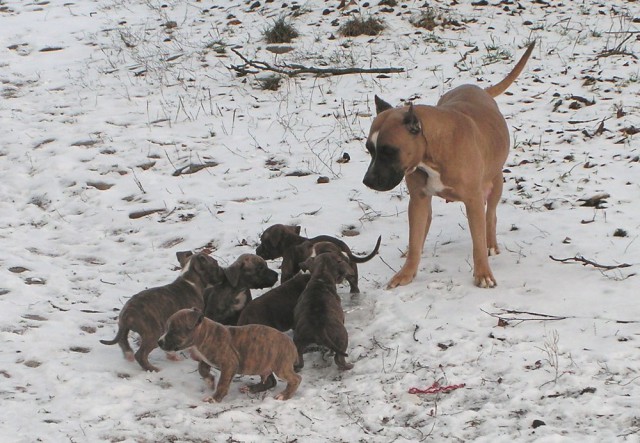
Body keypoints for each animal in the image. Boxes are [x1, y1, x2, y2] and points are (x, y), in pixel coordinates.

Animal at [159, 308, 302, 402]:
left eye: (174, 331)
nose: (159, 342)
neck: (205, 334)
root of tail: (292, 345)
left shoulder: (229, 365)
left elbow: (222, 383)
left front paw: (214, 398)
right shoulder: (205, 360)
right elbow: (202, 369)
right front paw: (210, 380)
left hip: (281, 366)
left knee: (296, 378)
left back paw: (284, 395)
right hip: (263, 364)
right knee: (271, 382)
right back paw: (251, 388)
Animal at [364, 41, 536, 290]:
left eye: (389, 151)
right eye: (369, 148)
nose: (367, 181)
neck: (432, 153)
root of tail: (480, 90)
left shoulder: (474, 201)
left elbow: (478, 242)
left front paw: (483, 273)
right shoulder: (418, 200)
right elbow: (415, 239)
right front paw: (406, 272)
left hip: (495, 183)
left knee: (491, 215)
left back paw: (491, 243)